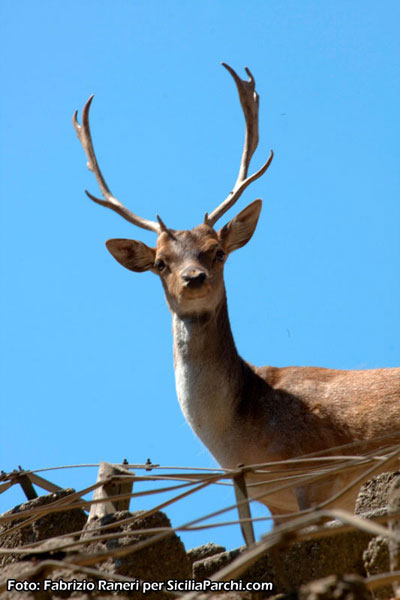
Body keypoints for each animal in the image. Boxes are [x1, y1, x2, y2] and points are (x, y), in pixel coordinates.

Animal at [74, 64, 400, 520]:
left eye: (218, 251)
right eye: (160, 263)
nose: (194, 278)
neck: (242, 438)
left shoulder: (320, 476)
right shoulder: (274, 502)